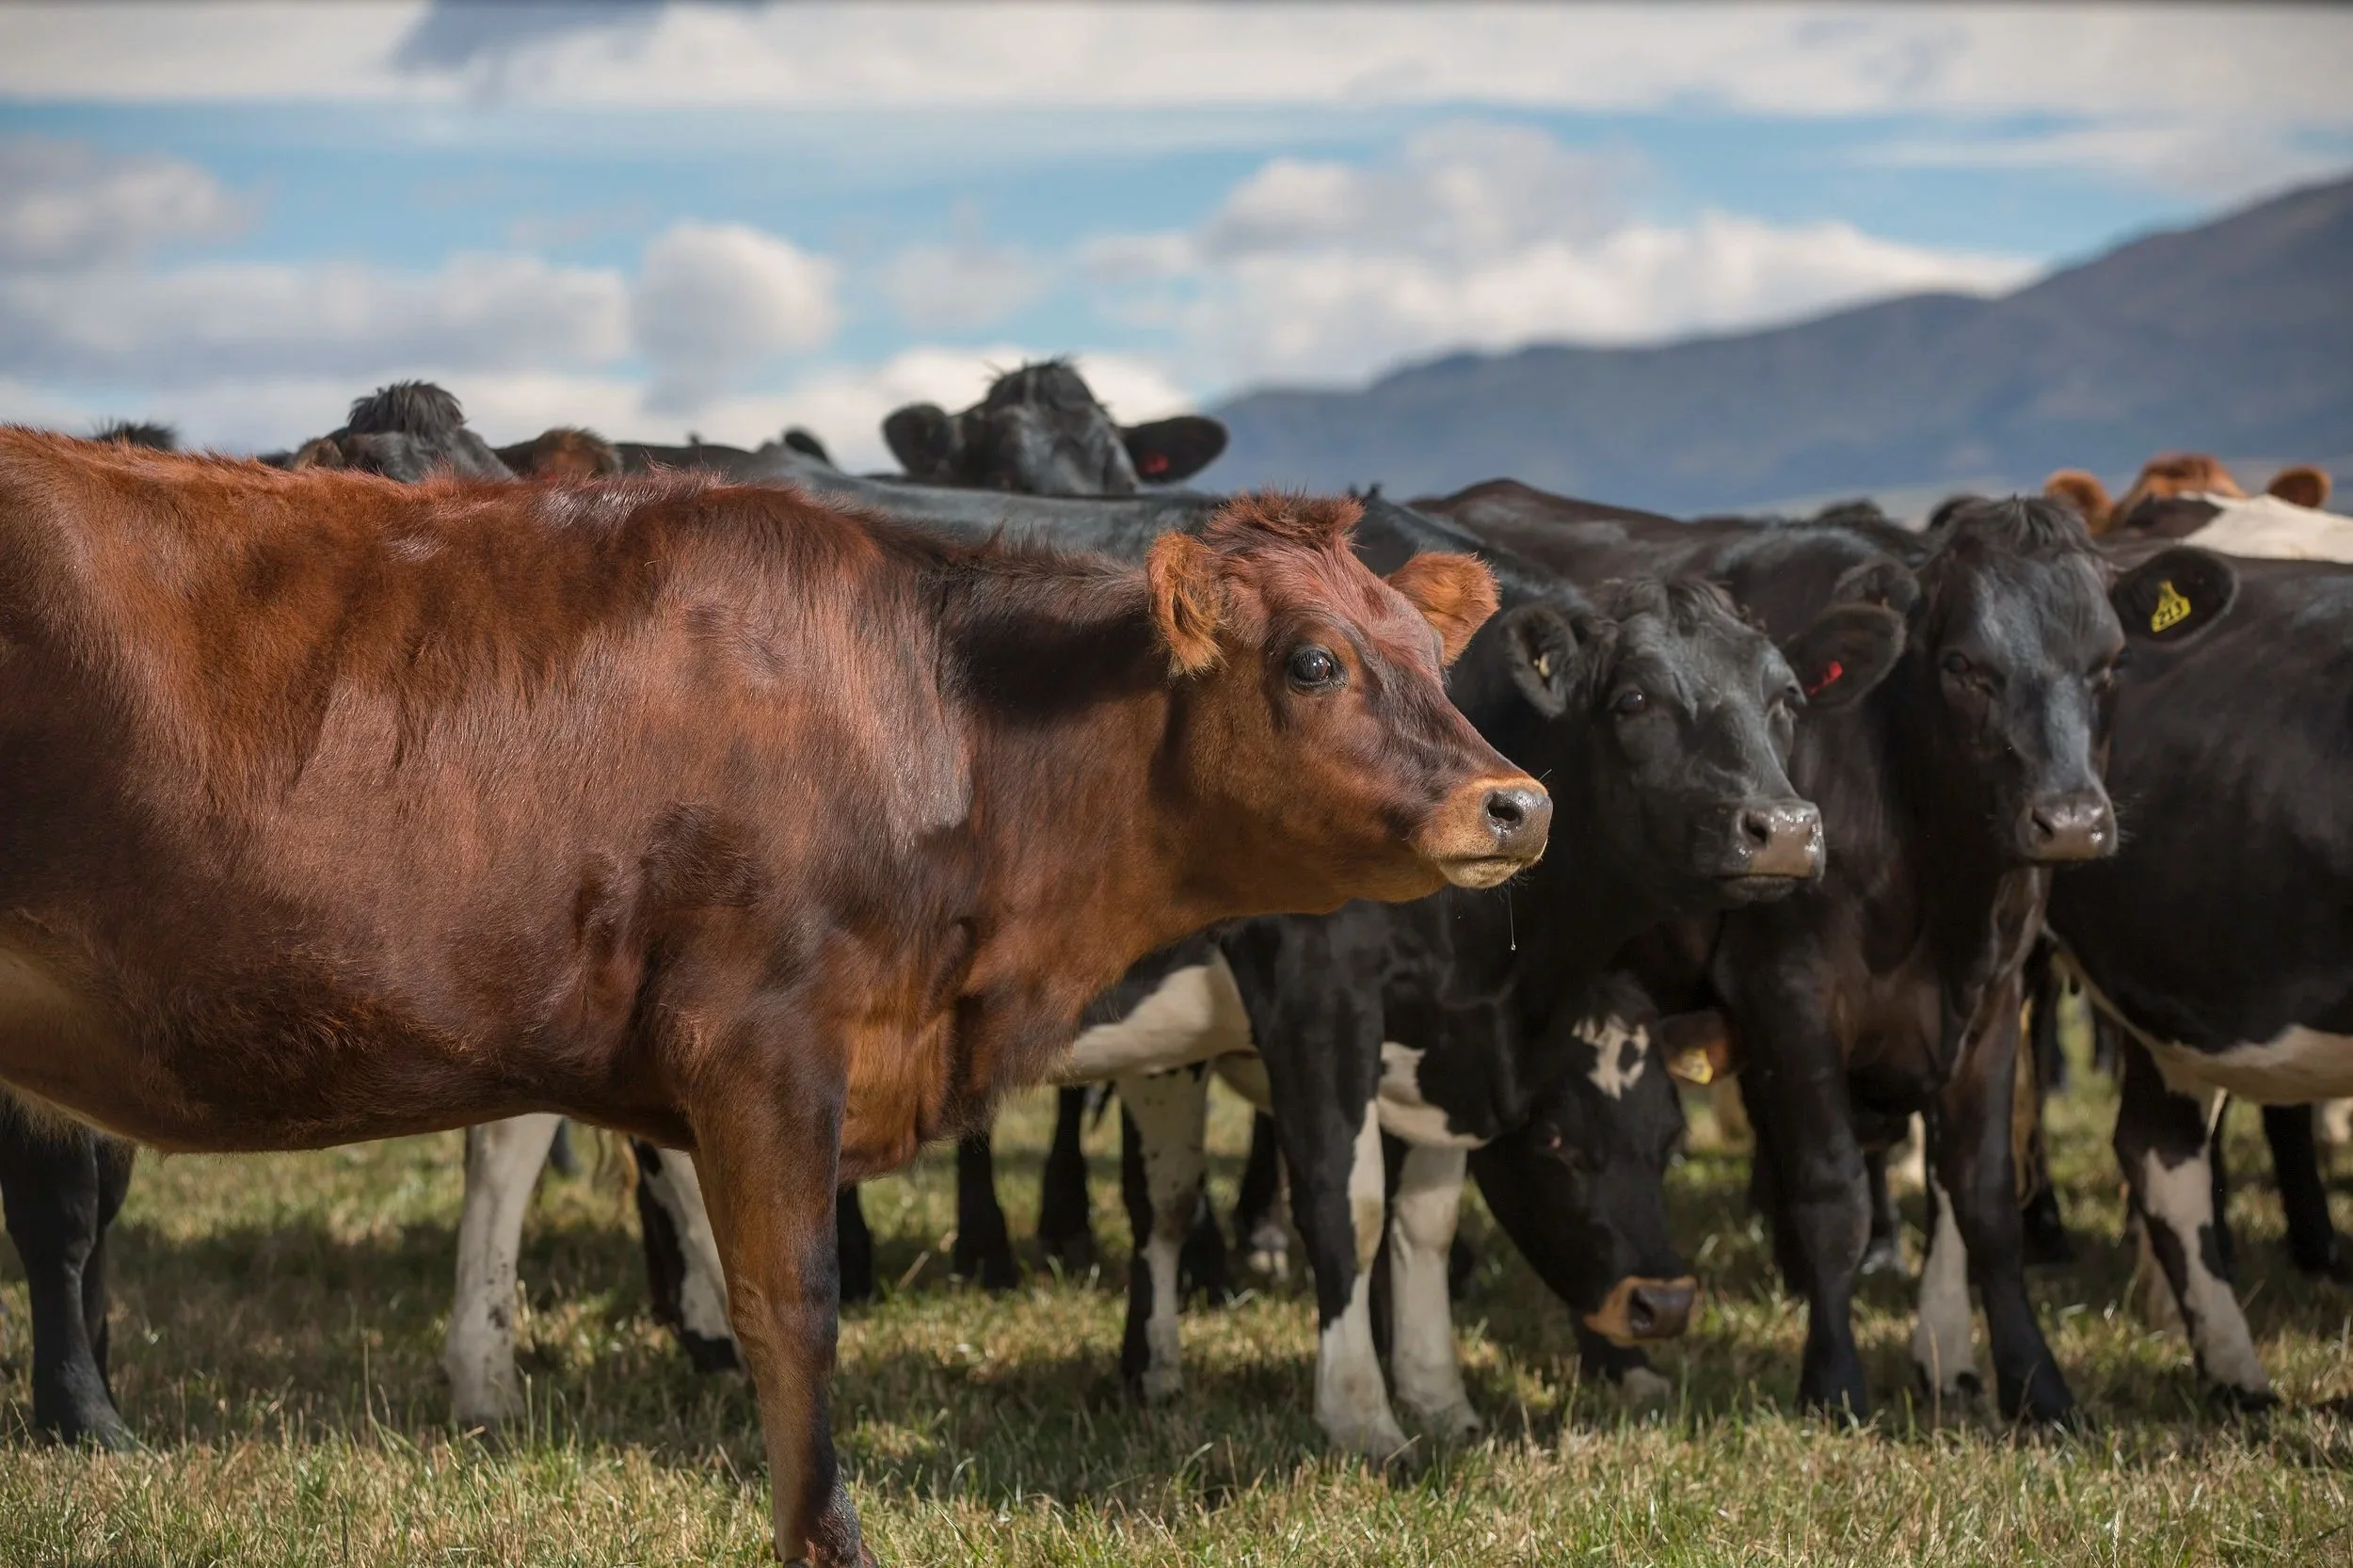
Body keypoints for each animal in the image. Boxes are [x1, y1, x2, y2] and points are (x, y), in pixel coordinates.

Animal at [0, 429, 1547, 1563]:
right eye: (1313, 659)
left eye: (1430, 653)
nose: (1517, 801)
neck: (942, 722)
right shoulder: (759, 1045)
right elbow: (790, 1312)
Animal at [1429, 480, 2229, 1423]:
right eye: (1964, 666)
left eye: (2110, 665)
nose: (2070, 820)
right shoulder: (1792, 995)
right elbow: (1831, 1195)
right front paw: (1835, 1379)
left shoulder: (1994, 1000)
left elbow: (1988, 1201)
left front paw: (2038, 1385)